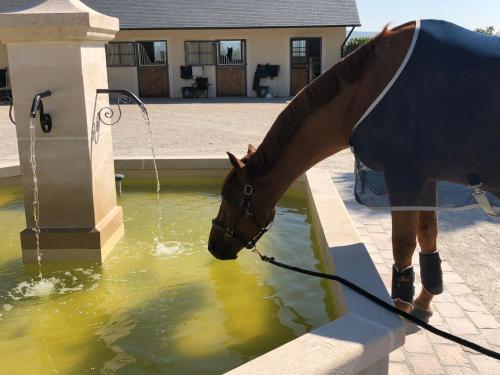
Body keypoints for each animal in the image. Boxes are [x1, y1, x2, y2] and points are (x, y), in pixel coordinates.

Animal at [207, 19, 500, 322]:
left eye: (228, 197)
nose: (212, 246)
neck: (366, 95)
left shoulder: (404, 177)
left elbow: (403, 245)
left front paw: (401, 311)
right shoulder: (427, 179)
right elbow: (428, 237)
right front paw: (423, 302)